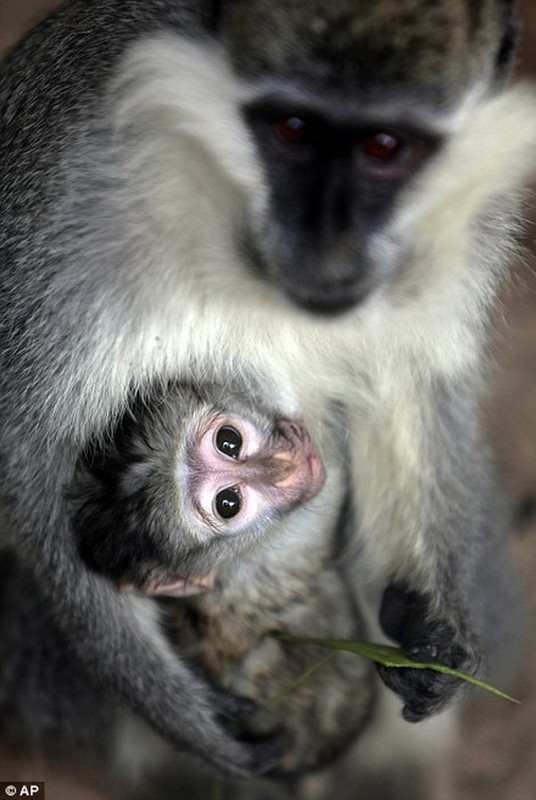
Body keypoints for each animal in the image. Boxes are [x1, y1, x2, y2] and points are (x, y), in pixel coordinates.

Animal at [0, 0, 532, 780]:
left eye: (385, 147)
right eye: (291, 129)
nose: (326, 239)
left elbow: (413, 393)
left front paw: (436, 630)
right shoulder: (58, 230)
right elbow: (30, 472)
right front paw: (187, 721)